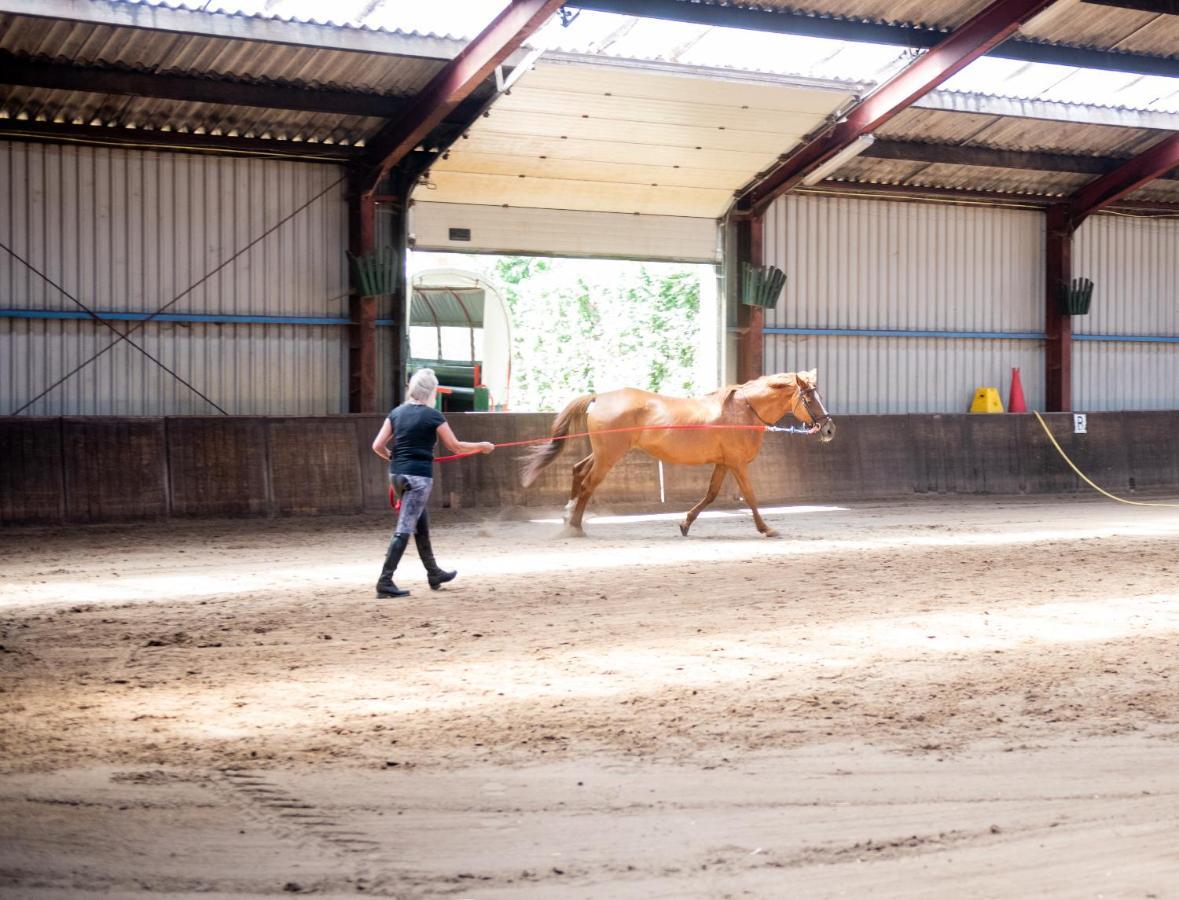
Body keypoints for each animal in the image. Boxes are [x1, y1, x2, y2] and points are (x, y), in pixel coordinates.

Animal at [521, 370, 834, 537]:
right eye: (809, 398)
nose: (829, 429)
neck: (743, 411)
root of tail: (599, 398)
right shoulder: (737, 463)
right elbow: (751, 496)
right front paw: (766, 529)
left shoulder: (723, 463)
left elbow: (710, 494)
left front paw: (685, 524)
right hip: (609, 456)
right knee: (588, 483)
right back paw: (575, 527)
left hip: (603, 453)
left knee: (577, 471)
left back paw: (568, 518)